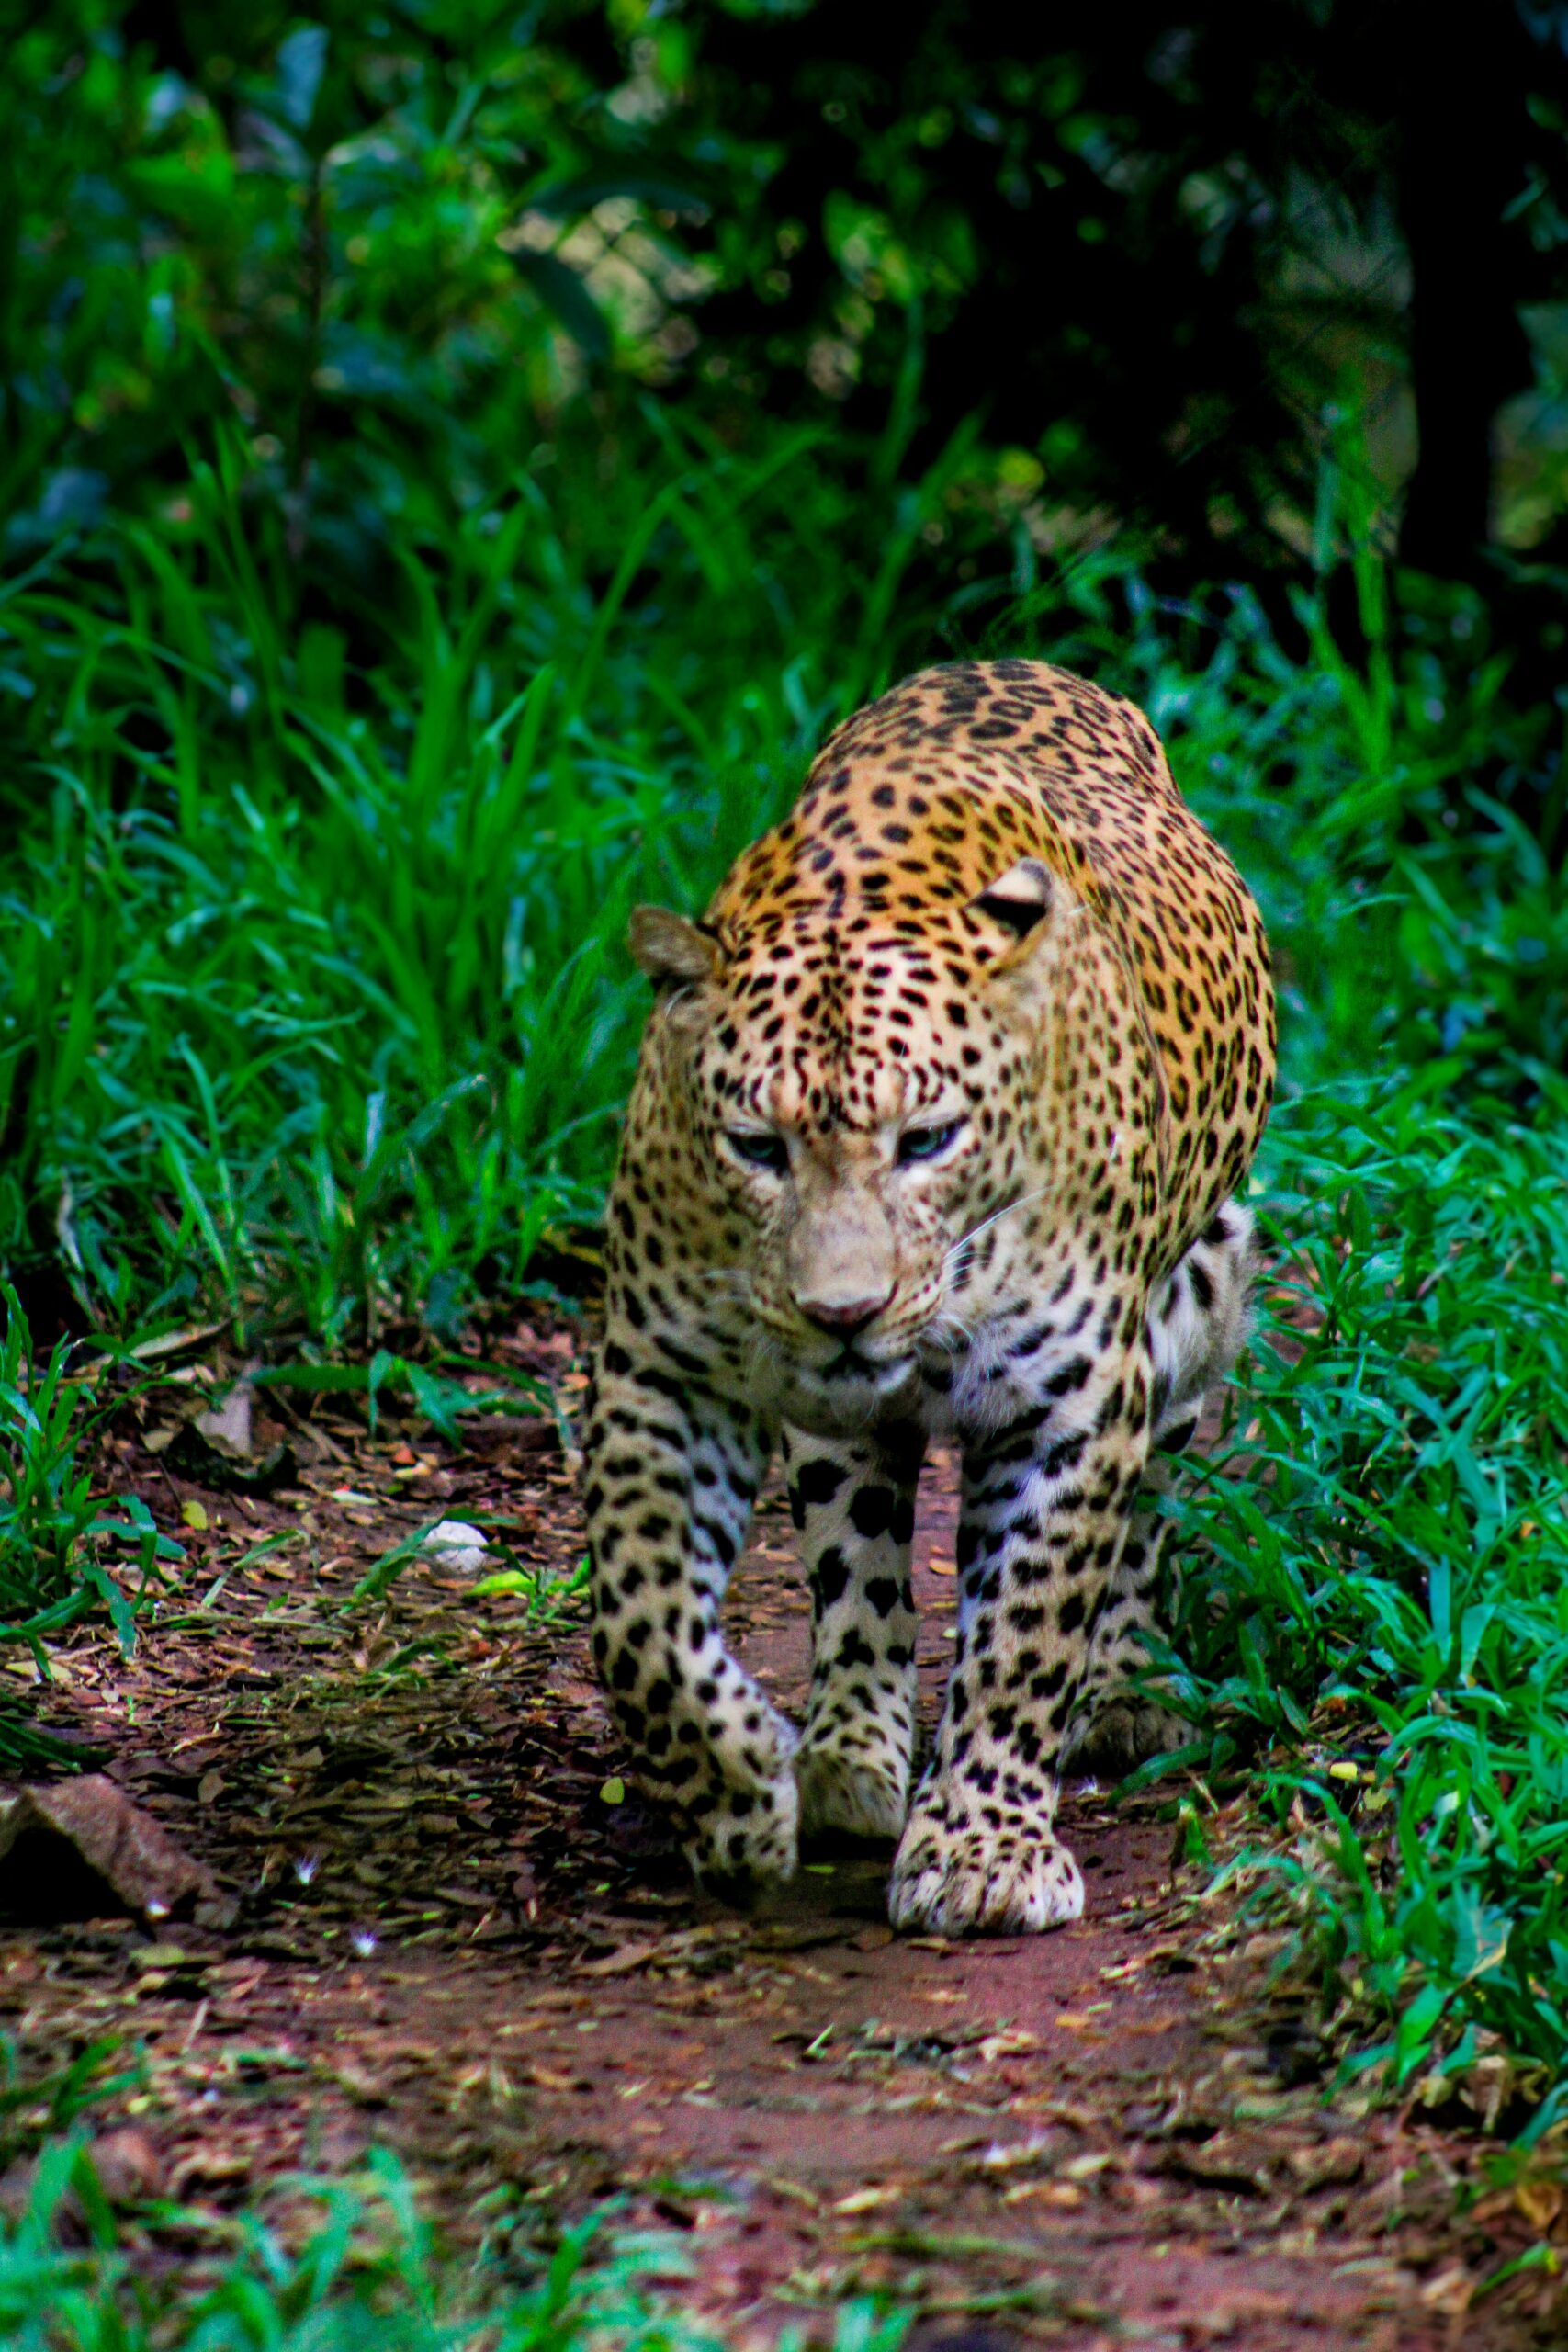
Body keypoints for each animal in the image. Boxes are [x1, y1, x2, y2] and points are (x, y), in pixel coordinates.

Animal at [582, 658, 1275, 1936]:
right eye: (755, 1147)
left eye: (928, 1139)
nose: (842, 1312)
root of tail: (1017, 661)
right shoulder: (663, 1368)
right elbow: (644, 1617)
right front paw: (736, 1789)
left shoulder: (1073, 1399)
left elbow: (1027, 1626)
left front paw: (984, 1847)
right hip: (835, 1426)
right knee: (856, 1556)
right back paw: (847, 1751)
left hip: (1201, 1293)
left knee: (1147, 1515)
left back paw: (1123, 1687)